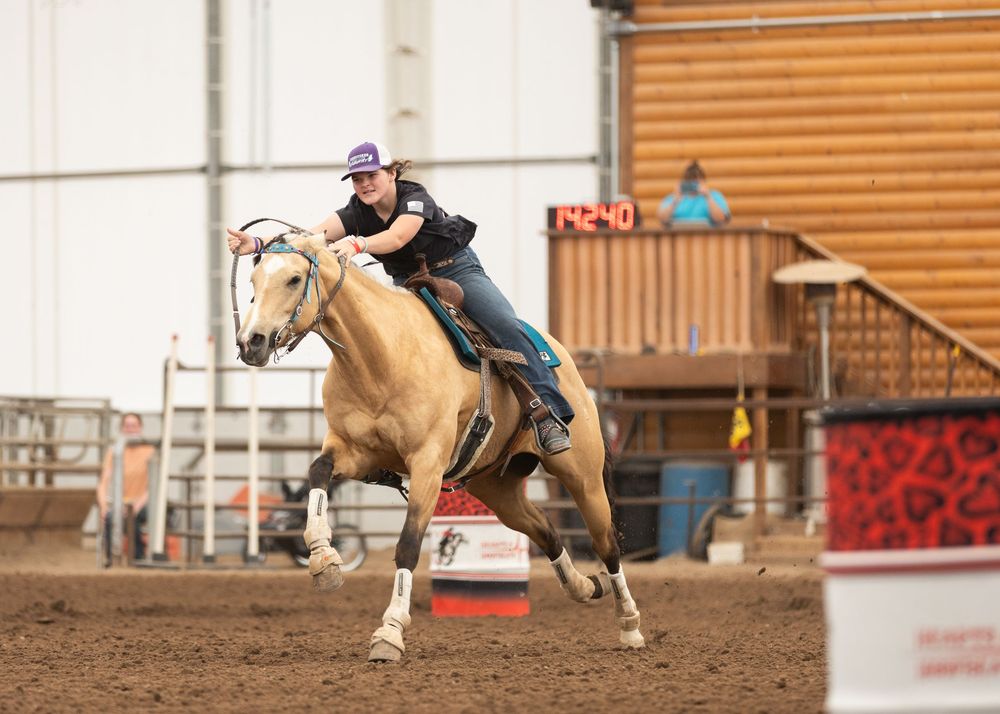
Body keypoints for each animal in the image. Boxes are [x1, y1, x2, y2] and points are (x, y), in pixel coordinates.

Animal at [234, 233, 644, 662]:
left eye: (294, 279)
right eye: (253, 280)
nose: (250, 342)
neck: (382, 357)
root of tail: (564, 358)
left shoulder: (427, 464)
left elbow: (408, 546)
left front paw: (390, 632)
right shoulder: (353, 451)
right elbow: (318, 471)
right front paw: (323, 560)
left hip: (583, 476)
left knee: (606, 543)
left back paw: (630, 626)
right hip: (496, 489)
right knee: (546, 530)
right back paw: (585, 586)